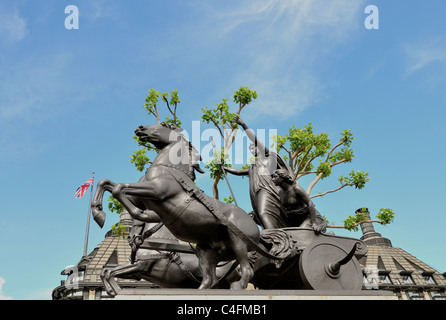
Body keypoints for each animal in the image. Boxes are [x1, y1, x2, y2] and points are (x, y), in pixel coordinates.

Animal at [91, 123, 258, 290]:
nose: (140, 128)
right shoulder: (141, 198)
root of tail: (254, 224)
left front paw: (137, 213)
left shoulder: (157, 190)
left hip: (238, 241)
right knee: (209, 280)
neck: (168, 169)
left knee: (247, 270)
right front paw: (98, 213)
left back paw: (238, 286)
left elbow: (118, 188)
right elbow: (106, 183)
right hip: (208, 252)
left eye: (162, 125)